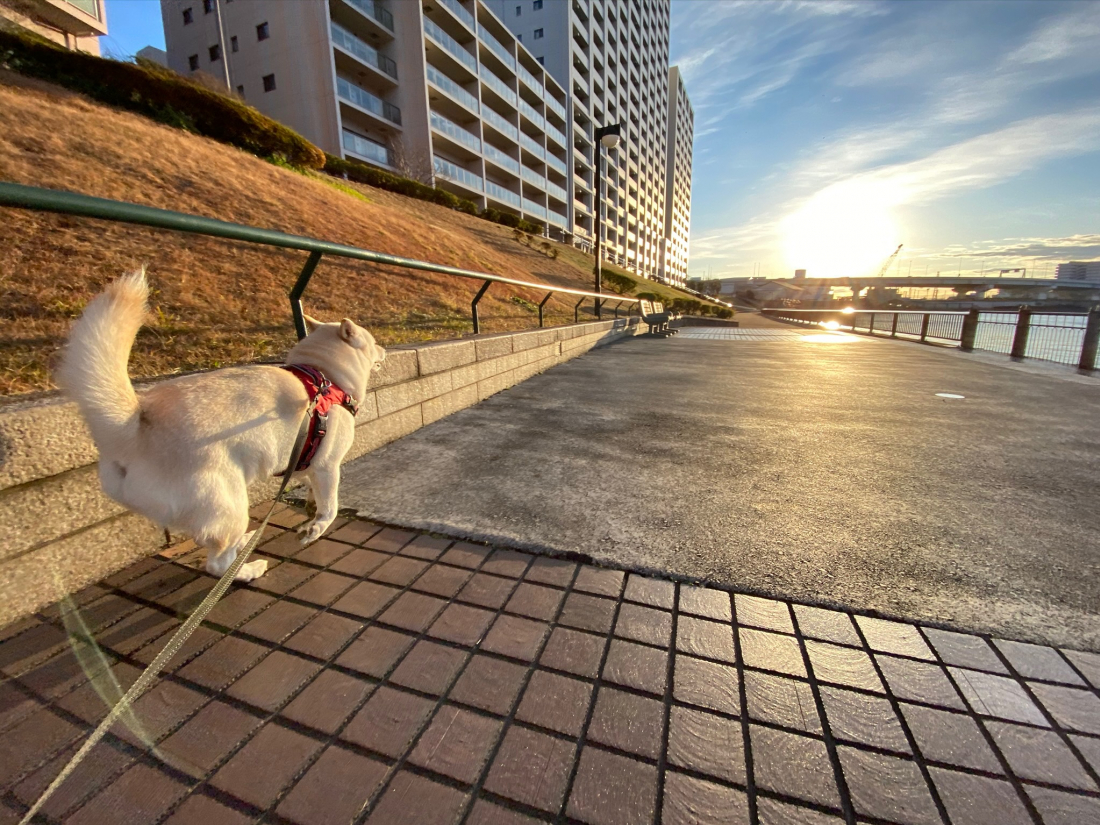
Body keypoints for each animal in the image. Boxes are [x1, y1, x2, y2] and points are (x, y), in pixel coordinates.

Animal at [60, 271, 389, 580]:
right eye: (374, 342)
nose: (385, 350)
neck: (325, 374)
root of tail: (136, 425)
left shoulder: (306, 459)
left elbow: (310, 487)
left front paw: (310, 505)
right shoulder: (327, 465)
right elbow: (330, 505)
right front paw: (316, 526)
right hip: (227, 503)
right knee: (217, 564)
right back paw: (248, 570)